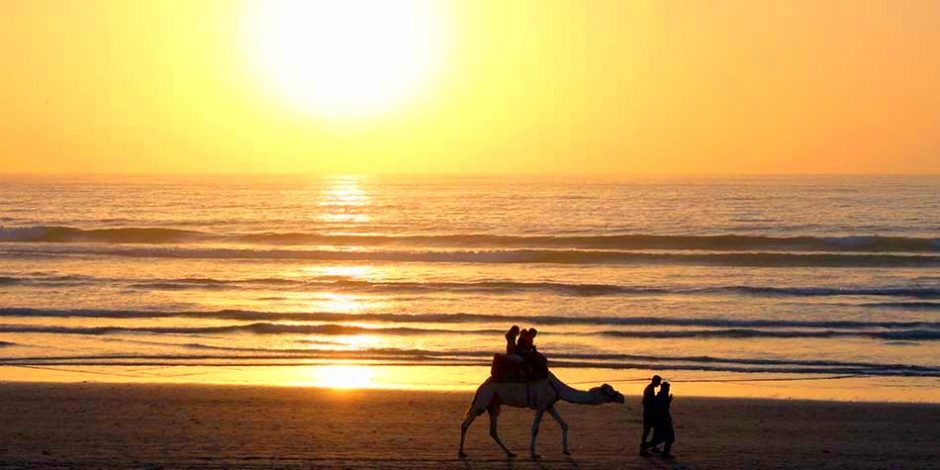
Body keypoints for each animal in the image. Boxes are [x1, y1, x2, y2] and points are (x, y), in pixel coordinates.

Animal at [460, 374, 628, 458]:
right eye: (609, 392)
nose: (622, 397)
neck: (557, 388)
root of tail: (480, 387)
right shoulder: (541, 405)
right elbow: (535, 429)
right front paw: (534, 454)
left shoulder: (549, 405)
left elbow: (564, 424)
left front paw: (566, 451)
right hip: (483, 400)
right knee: (465, 423)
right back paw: (461, 453)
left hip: (494, 405)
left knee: (493, 430)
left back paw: (510, 453)